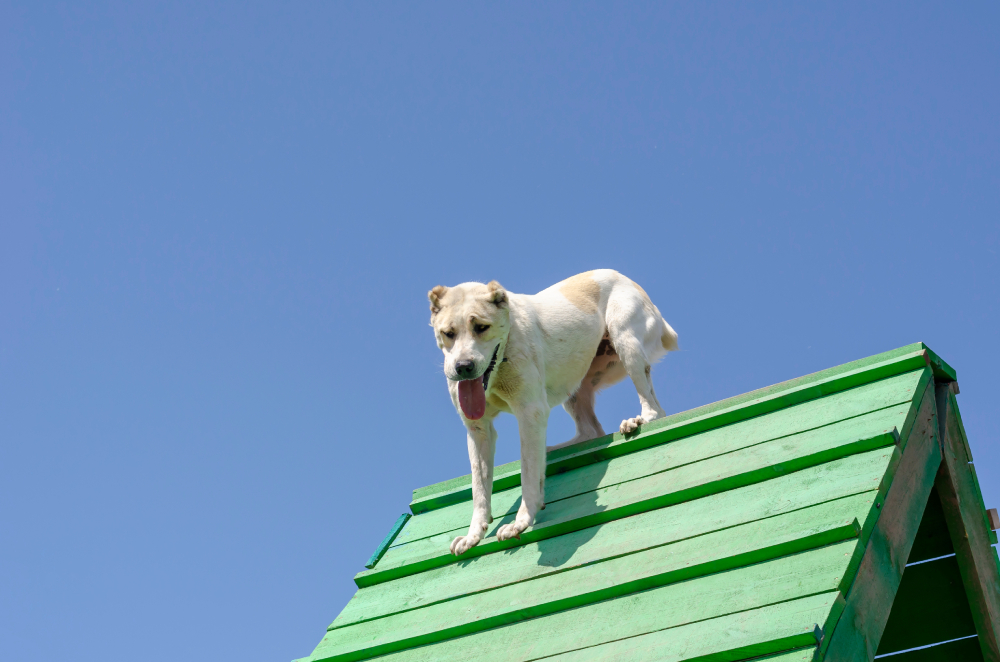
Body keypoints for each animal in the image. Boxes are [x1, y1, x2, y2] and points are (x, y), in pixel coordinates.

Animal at [426, 270, 676, 556]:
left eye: (481, 327)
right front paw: (473, 536)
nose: (463, 367)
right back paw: (555, 448)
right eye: (448, 333)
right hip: (575, 387)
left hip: (626, 342)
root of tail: (619, 274)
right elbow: (479, 488)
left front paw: (521, 522)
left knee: (654, 408)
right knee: (591, 431)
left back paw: (637, 420)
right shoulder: (478, 430)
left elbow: (527, 474)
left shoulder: (530, 413)